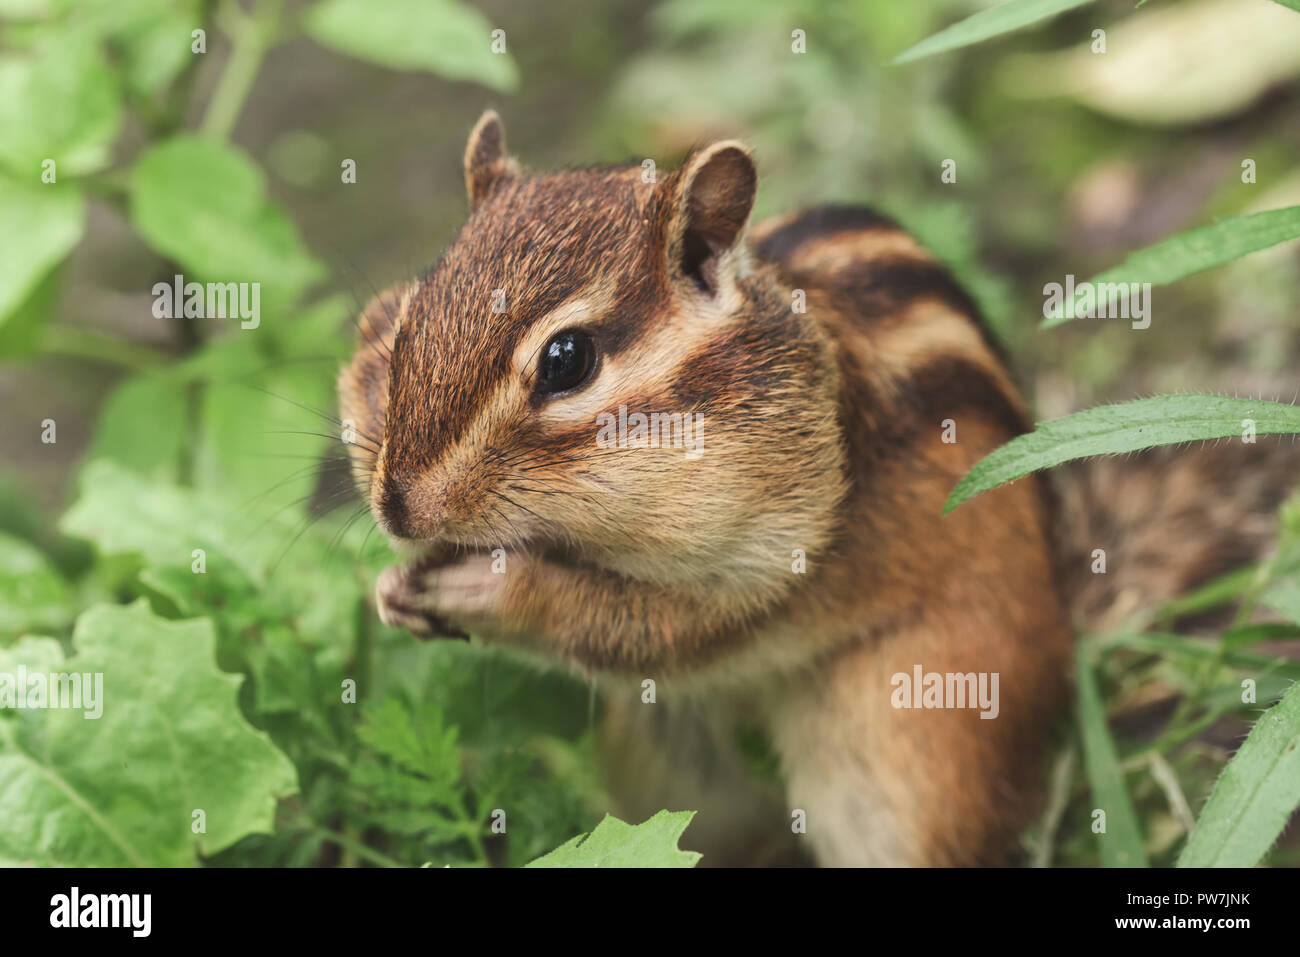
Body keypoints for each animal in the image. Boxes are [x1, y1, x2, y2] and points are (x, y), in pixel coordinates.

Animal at [338, 110, 1298, 866]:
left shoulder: (774, 556)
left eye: (567, 360)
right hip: (666, 763)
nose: (398, 506)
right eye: (409, 313)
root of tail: (1066, 629)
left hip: (913, 744)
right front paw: (390, 588)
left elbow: (654, 627)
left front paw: (495, 586)